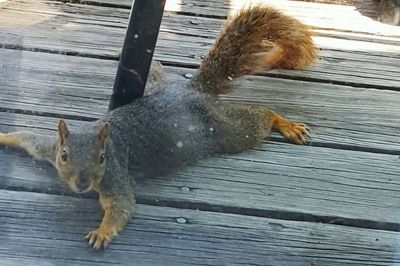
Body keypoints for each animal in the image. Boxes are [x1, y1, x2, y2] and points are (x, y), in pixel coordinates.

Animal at [0, 5, 318, 249]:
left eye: (102, 158)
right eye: (64, 155)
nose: (81, 183)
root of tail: (192, 90)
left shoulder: (117, 176)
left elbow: (122, 206)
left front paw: (103, 231)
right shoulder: (47, 147)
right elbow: (26, 137)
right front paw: (3, 136)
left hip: (226, 131)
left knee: (259, 117)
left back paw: (285, 123)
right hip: (158, 81)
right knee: (158, 69)